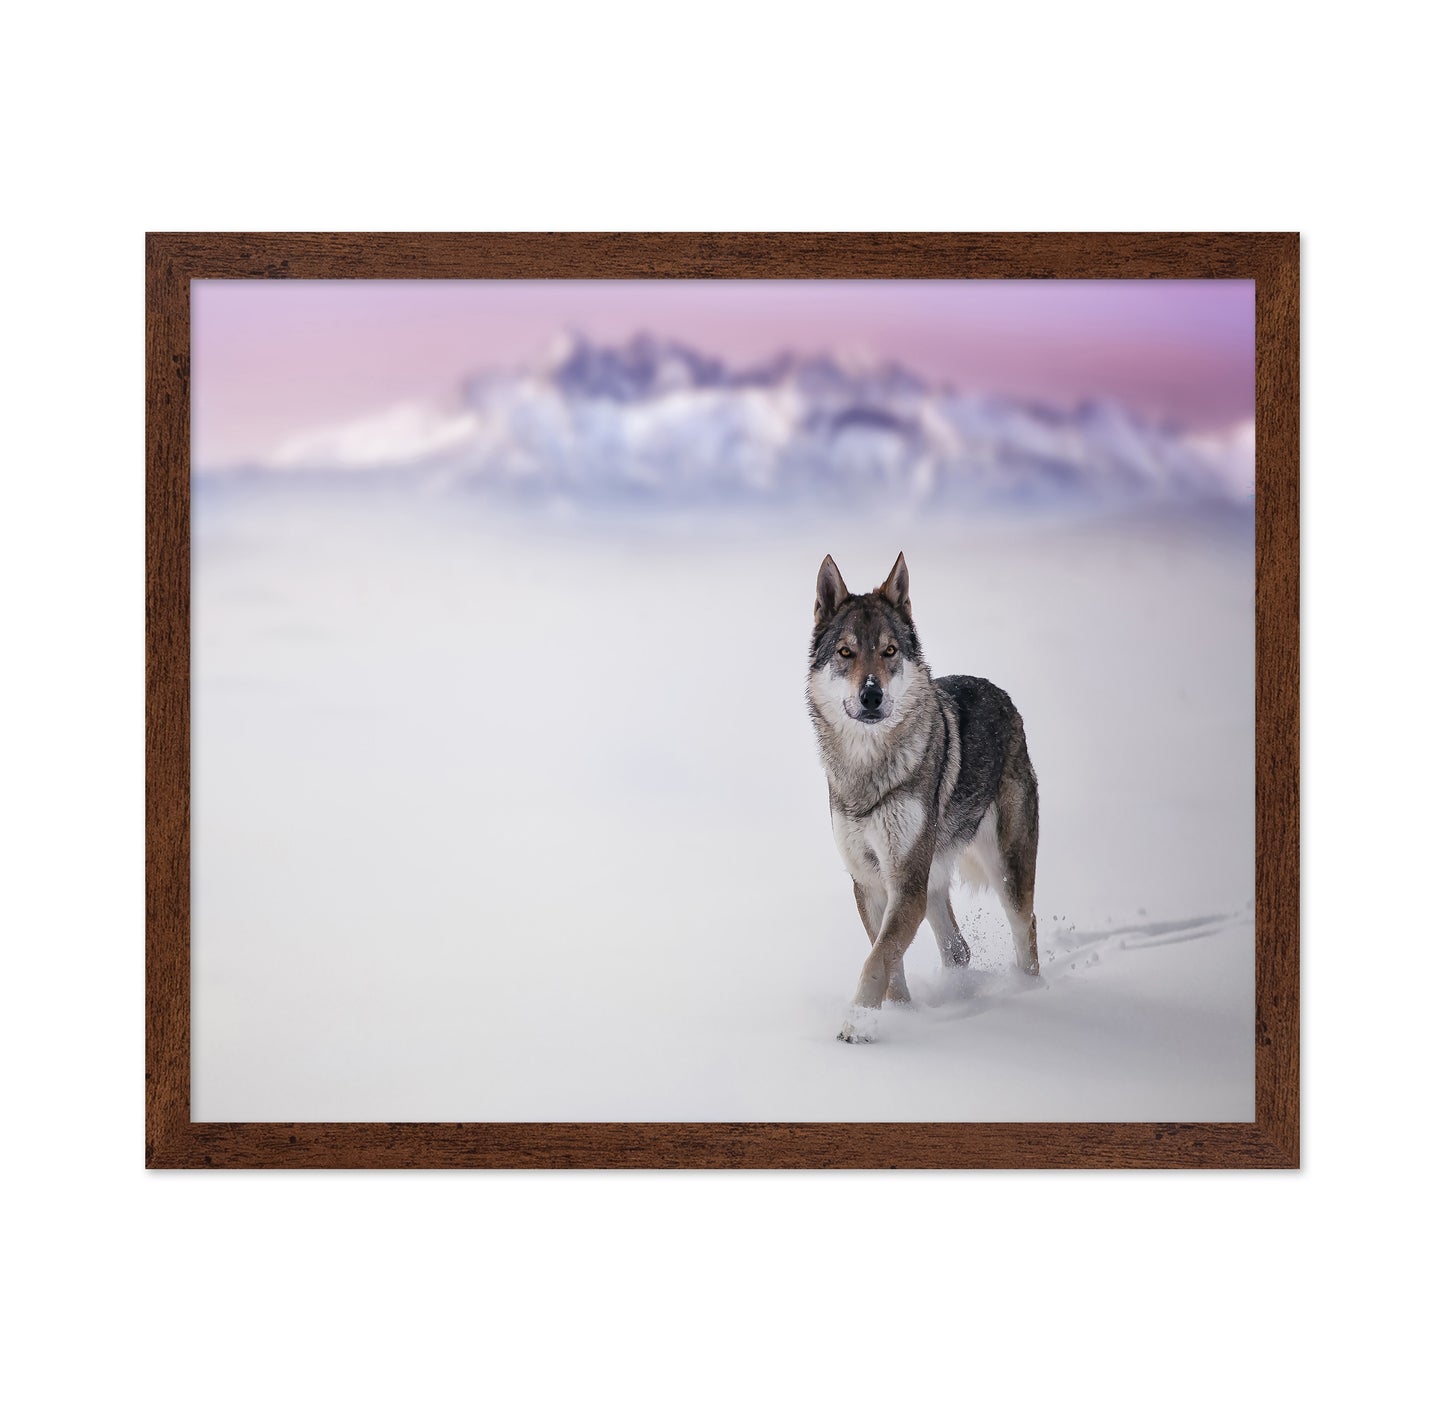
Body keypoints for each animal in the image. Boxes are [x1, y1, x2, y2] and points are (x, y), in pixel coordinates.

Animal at [807, 552, 1041, 1042]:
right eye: (845, 653)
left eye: (890, 651)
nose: (871, 695)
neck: (868, 772)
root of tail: (1003, 695)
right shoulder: (871, 883)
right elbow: (888, 960)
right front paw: (899, 1015)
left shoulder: (905, 885)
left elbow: (877, 959)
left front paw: (855, 1027)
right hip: (932, 883)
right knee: (960, 949)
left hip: (1004, 873)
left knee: (1026, 926)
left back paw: (1031, 994)